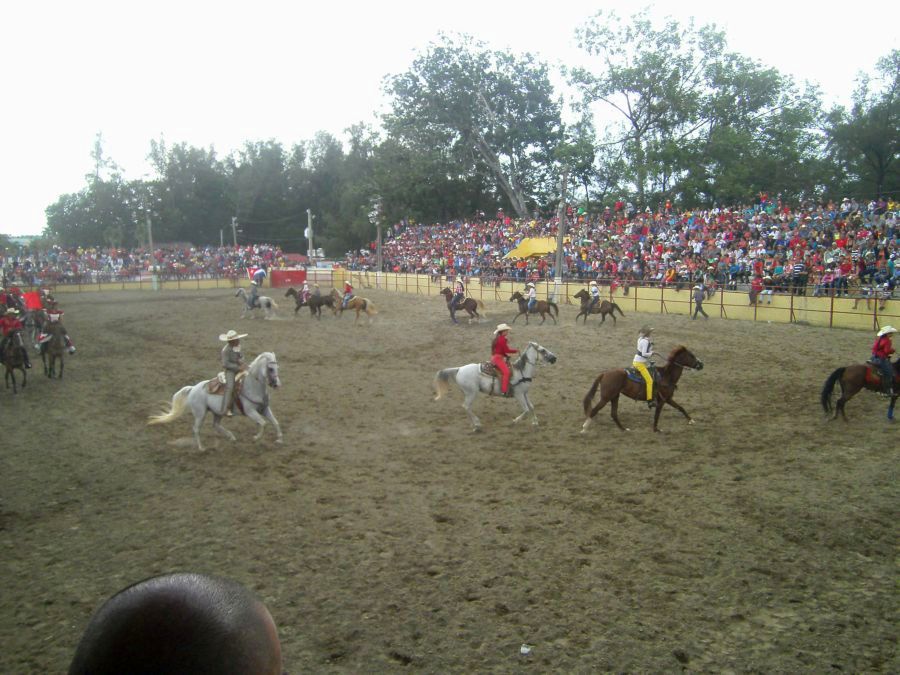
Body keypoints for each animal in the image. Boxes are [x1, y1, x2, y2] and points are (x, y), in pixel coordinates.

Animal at [147, 352, 284, 452]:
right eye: (270, 369)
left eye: (277, 367)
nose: (277, 384)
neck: (252, 386)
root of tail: (193, 388)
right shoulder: (250, 411)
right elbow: (263, 423)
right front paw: (256, 438)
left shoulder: (264, 409)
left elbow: (275, 422)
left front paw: (279, 440)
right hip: (200, 414)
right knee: (196, 429)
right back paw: (201, 448)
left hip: (217, 412)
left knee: (216, 425)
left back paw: (231, 437)